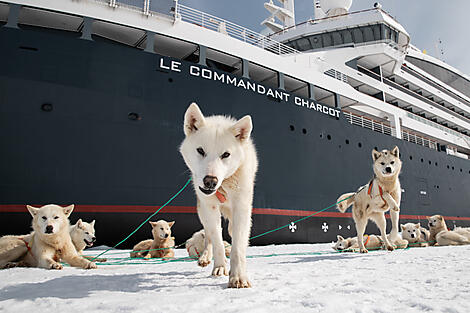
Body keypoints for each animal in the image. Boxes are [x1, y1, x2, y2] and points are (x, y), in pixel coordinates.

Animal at [181, 103, 260, 288]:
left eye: (226, 154)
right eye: (200, 150)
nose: (210, 181)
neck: (223, 185)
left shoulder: (241, 208)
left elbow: (238, 247)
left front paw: (238, 276)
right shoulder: (209, 208)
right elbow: (217, 241)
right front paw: (220, 267)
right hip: (202, 211)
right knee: (209, 235)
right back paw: (205, 256)